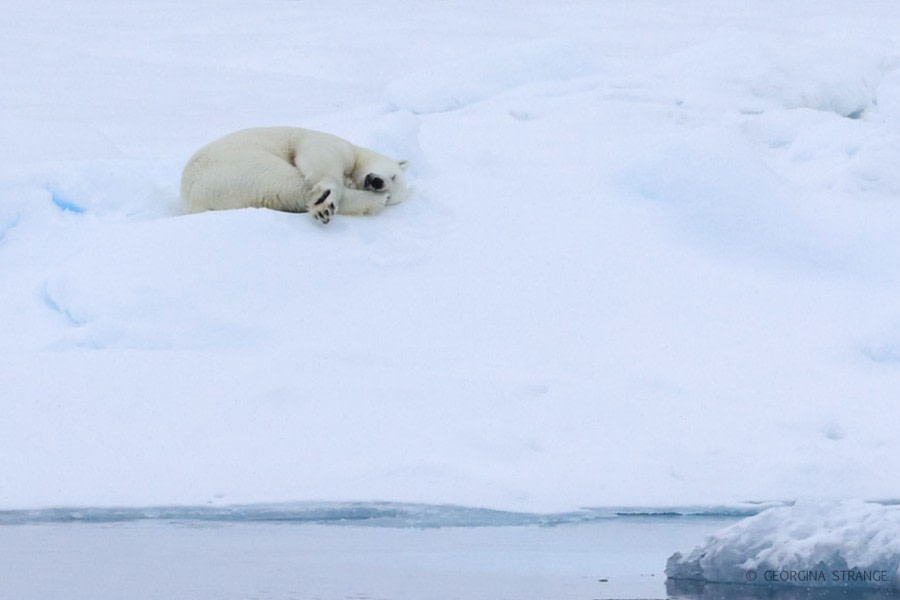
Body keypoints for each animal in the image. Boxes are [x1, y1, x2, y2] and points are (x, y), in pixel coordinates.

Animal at [180, 126, 412, 223]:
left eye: (393, 191)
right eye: (393, 175)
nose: (378, 183)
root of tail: (194, 199)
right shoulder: (330, 143)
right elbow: (321, 156)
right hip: (241, 164)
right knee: (292, 183)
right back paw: (326, 202)